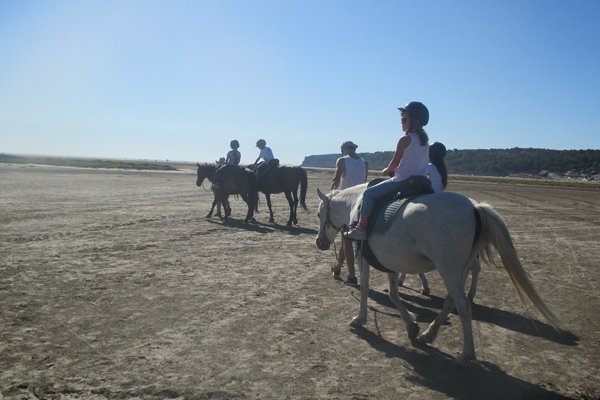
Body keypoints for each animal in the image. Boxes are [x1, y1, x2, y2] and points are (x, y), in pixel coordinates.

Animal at [316, 184, 560, 366]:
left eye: (319, 214)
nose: (319, 243)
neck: (356, 205)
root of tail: (475, 207)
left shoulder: (364, 256)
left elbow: (366, 289)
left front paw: (360, 319)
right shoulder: (391, 259)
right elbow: (394, 294)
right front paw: (411, 325)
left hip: (449, 269)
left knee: (463, 305)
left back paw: (465, 355)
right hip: (461, 269)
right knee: (452, 300)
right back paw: (429, 333)